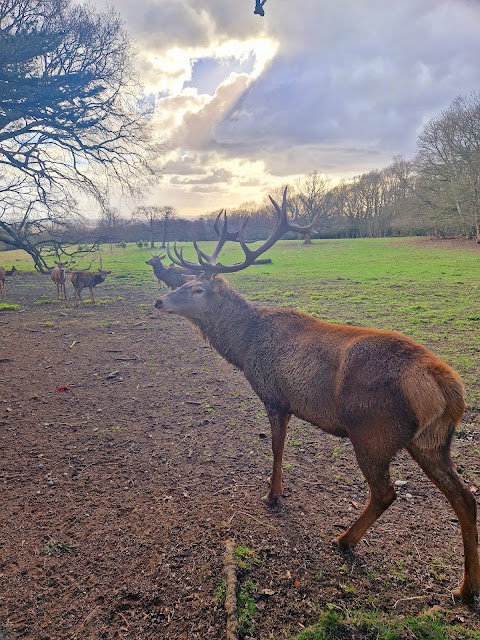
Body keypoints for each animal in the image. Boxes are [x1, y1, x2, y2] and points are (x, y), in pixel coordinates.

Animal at [155, 188, 480, 604]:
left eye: (197, 289)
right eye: (184, 283)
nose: (160, 301)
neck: (245, 349)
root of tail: (449, 389)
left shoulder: (275, 395)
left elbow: (276, 448)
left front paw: (273, 496)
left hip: (373, 431)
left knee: (385, 492)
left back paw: (344, 539)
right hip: (431, 440)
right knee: (465, 497)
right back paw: (466, 587)